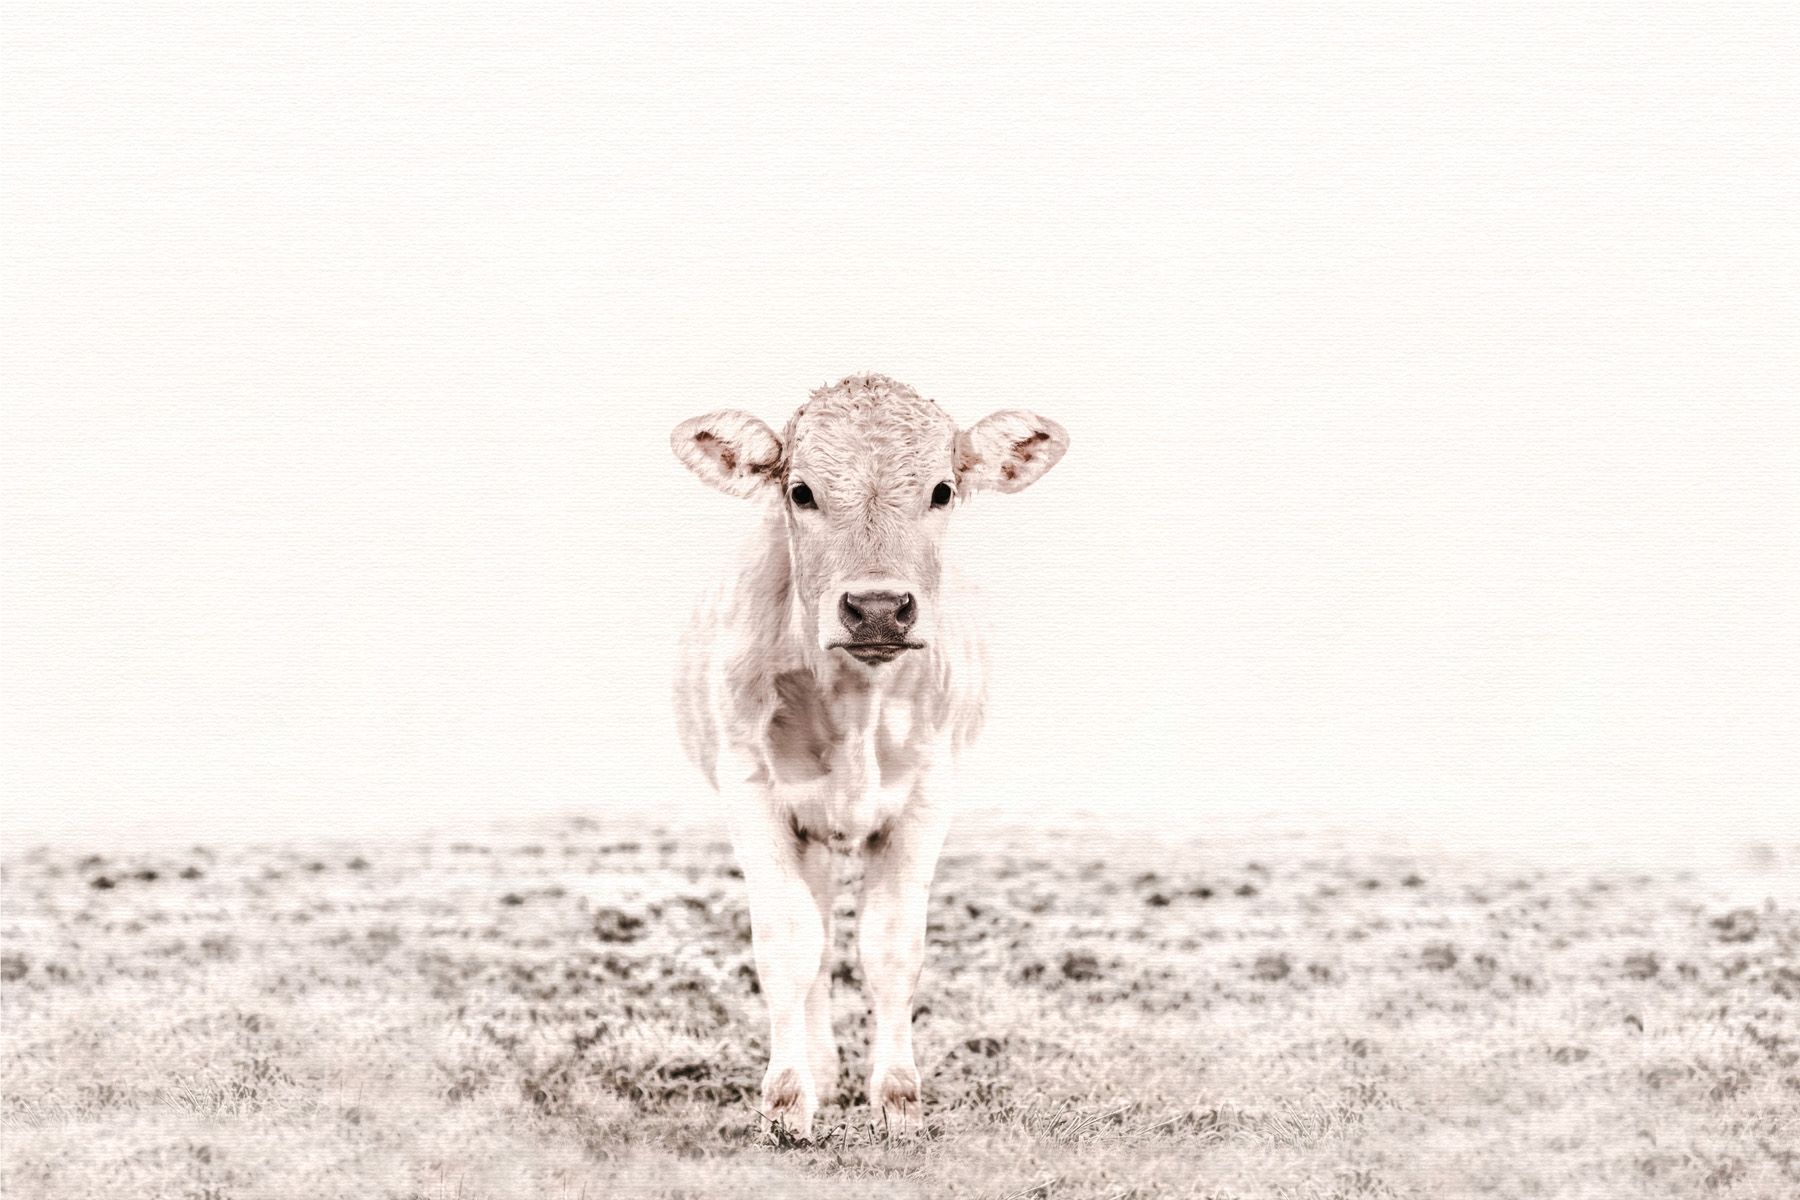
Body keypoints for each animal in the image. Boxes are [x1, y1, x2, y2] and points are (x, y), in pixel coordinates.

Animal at [670, 373, 1067, 1137]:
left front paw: (898, 1099)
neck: (855, 705)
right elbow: (790, 942)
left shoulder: (929, 795)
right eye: (800, 491)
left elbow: (890, 945)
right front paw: (788, 1099)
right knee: (818, 934)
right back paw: (821, 1070)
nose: (879, 607)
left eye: (943, 490)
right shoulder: (751, 791)